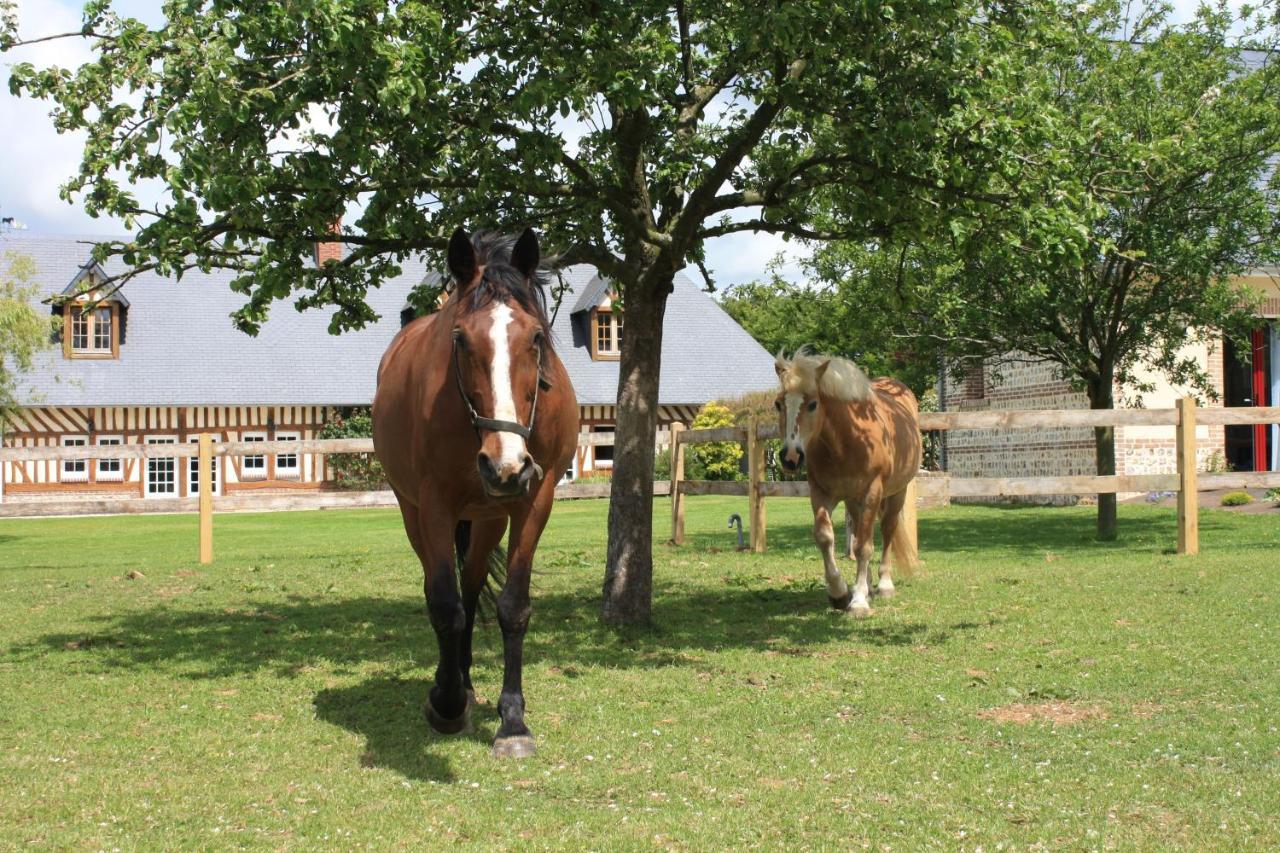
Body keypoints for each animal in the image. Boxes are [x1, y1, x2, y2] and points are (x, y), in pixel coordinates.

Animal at [373, 227, 578, 758]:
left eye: (537, 337)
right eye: (461, 338)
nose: (503, 464)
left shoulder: (533, 501)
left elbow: (512, 607)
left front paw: (513, 721)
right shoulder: (434, 504)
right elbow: (445, 605)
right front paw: (444, 704)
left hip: (488, 517)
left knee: (471, 582)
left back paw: (466, 681)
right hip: (416, 512)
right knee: (443, 590)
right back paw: (453, 688)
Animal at [768, 348, 921, 614]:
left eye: (813, 404)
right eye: (779, 403)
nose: (790, 457)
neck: (847, 440)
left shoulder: (872, 491)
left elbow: (864, 547)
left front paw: (858, 601)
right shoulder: (821, 492)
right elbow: (825, 537)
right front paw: (839, 592)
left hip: (895, 494)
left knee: (887, 531)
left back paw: (884, 585)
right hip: (854, 501)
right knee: (861, 533)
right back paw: (867, 585)